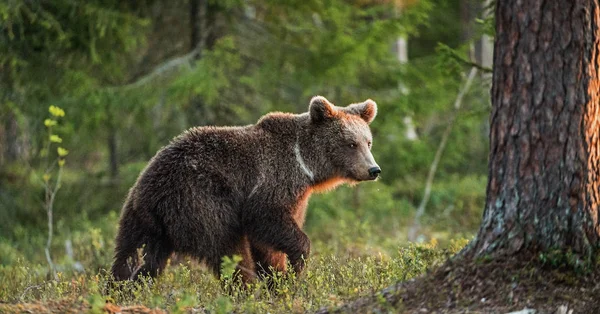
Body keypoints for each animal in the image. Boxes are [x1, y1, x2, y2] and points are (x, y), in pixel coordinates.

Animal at [110, 95, 382, 282]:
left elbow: (267, 244)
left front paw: (278, 278)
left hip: (139, 216)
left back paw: (122, 289)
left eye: (368, 142)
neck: (305, 164)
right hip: (201, 201)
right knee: (229, 249)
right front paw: (295, 266)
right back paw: (244, 289)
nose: (373, 169)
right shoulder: (275, 180)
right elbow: (265, 218)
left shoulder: (298, 196)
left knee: (133, 257)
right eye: (351, 143)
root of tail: (154, 196)